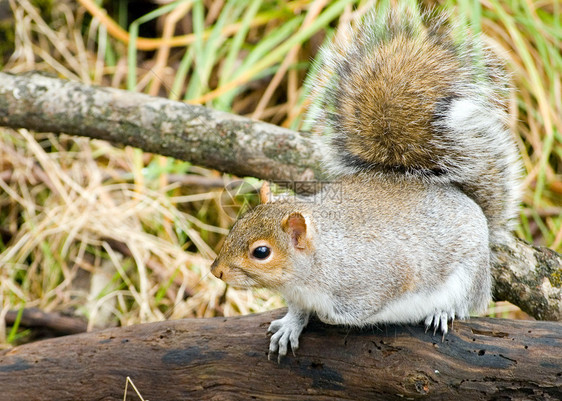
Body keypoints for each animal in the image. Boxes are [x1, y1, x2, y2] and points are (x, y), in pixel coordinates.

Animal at [209, 4, 520, 360]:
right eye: (236, 225)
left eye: (261, 252)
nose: (216, 271)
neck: (315, 264)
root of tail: (470, 205)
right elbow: (299, 310)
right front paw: (291, 324)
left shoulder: (383, 278)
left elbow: (356, 308)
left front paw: (328, 316)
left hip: (468, 275)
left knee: (468, 302)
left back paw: (444, 311)